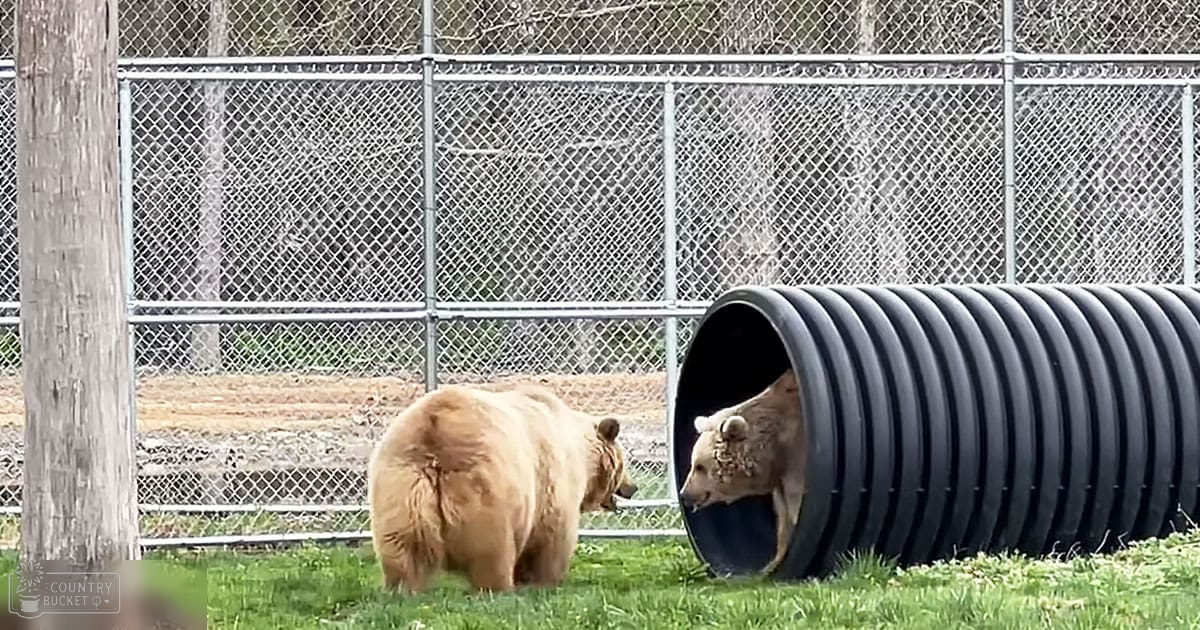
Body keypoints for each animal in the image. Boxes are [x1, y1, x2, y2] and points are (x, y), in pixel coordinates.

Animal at [366, 383, 639, 594]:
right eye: (625, 462)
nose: (632, 487)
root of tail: (434, 432)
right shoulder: (552, 484)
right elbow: (553, 539)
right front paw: (544, 581)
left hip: (400, 488)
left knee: (404, 550)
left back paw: (402, 589)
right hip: (487, 490)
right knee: (491, 552)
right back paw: (499, 588)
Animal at [677, 368, 806, 576]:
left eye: (699, 466)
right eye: (692, 464)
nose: (684, 494)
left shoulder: (797, 456)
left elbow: (796, 504)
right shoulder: (781, 473)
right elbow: (783, 514)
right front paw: (772, 564)